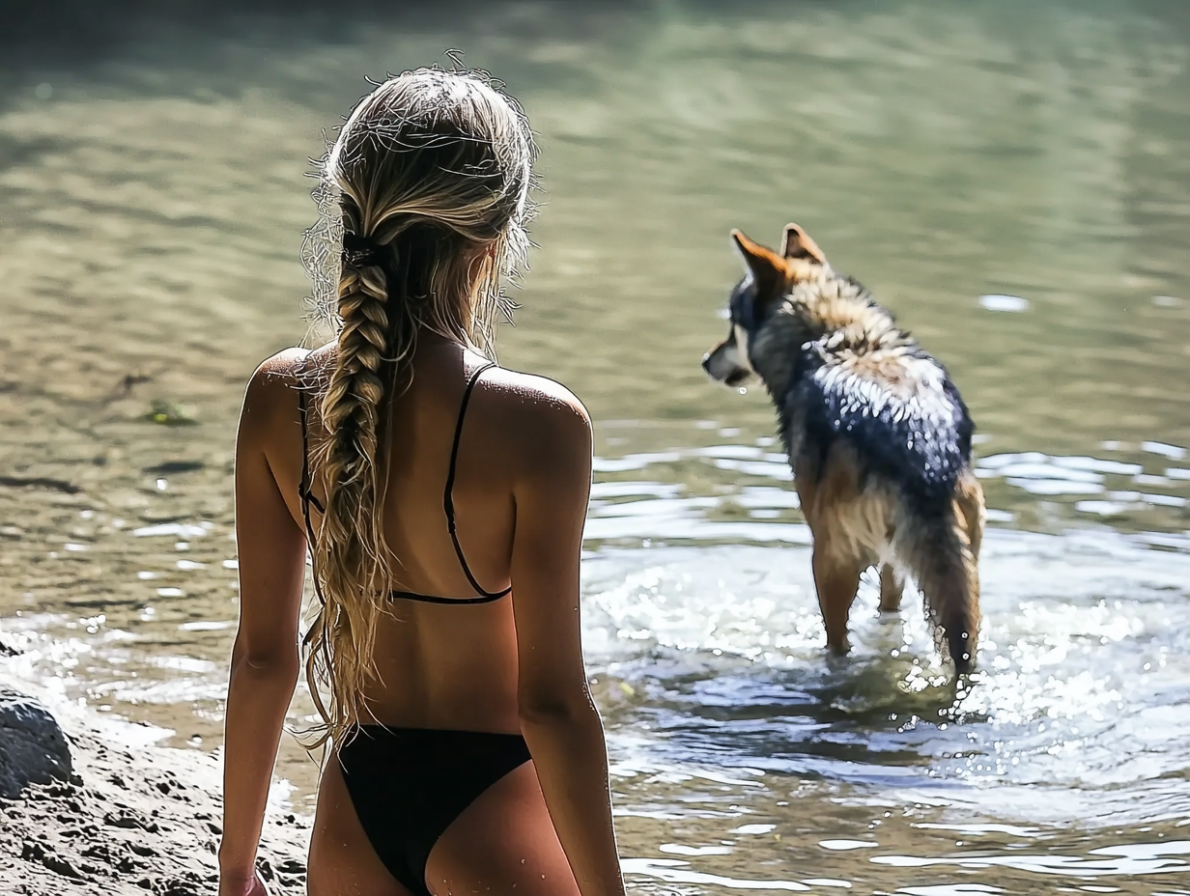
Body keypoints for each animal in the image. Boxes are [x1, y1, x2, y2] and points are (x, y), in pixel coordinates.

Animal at [702, 224, 985, 674]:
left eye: (733, 324)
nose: (705, 361)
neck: (839, 342)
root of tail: (922, 455)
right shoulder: (893, 560)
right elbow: (890, 605)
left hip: (829, 561)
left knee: (838, 643)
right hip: (962, 556)